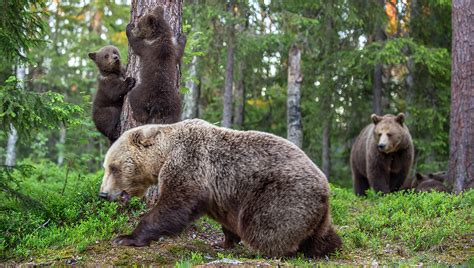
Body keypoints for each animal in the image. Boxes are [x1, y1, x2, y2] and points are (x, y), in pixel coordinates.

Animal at [98, 119, 342, 258]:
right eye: (106, 166)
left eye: (113, 167)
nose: (103, 193)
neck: (163, 154)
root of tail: (326, 187)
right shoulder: (220, 193)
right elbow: (223, 217)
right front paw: (223, 242)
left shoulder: (189, 162)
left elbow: (174, 204)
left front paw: (126, 237)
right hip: (315, 211)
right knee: (322, 235)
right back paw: (326, 247)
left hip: (281, 193)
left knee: (266, 225)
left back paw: (266, 251)